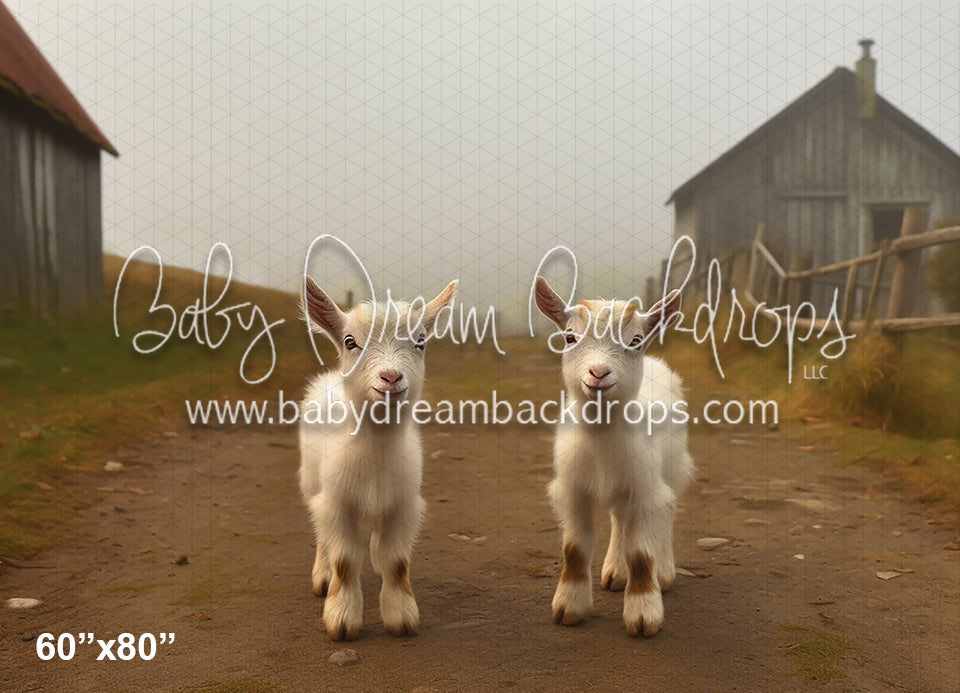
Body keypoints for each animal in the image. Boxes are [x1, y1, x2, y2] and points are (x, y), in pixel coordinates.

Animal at [299, 277, 458, 641]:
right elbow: (344, 560)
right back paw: (322, 574)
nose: (391, 378)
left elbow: (396, 562)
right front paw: (342, 618)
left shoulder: (403, 504)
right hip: (311, 481)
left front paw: (401, 616)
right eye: (349, 341)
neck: (376, 453)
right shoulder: (337, 501)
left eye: (420, 342)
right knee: (320, 531)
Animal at [535, 277, 694, 637]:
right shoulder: (573, 489)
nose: (598, 373)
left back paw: (664, 572)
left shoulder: (646, 488)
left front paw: (644, 614)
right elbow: (575, 549)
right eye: (570, 337)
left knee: (668, 510)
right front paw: (569, 607)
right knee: (621, 518)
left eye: (635, 341)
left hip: (673, 467)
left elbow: (641, 553)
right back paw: (615, 571)